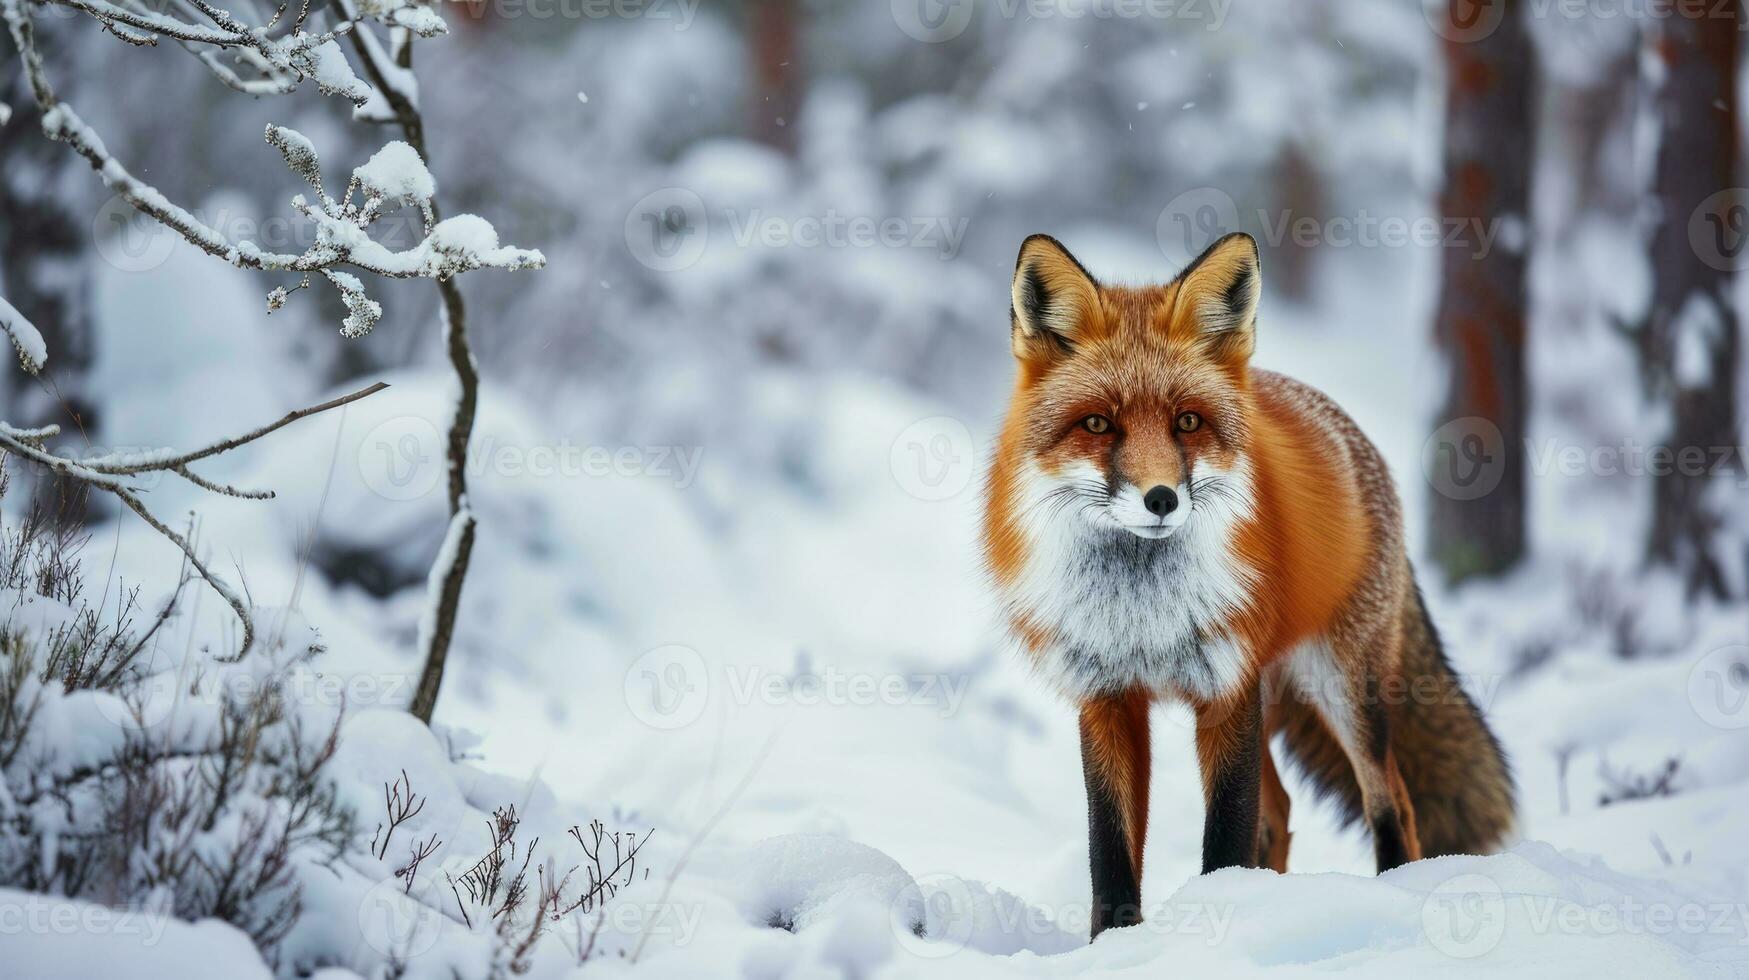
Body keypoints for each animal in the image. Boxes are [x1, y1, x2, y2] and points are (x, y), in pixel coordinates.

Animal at [986, 232, 1518, 938]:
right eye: (1098, 425)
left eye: (1187, 422)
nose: (1161, 499)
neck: (1143, 615)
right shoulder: (1107, 696)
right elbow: (1112, 851)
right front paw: (1114, 945)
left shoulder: (1227, 688)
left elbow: (1226, 835)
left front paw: (1219, 919)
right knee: (1283, 812)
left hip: (1344, 687)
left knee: (1390, 802)